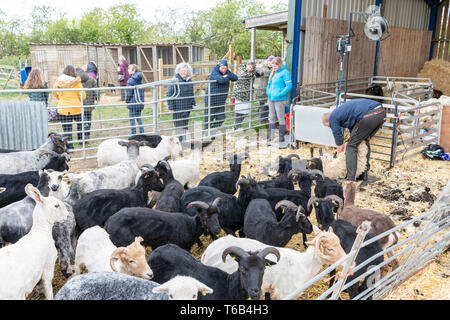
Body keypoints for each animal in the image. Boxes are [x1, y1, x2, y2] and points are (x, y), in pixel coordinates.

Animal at [202, 226, 346, 298]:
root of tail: (206, 252)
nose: (347, 260)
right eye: (330, 249)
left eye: (339, 242)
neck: (305, 265)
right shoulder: (284, 293)